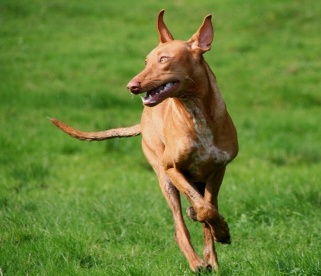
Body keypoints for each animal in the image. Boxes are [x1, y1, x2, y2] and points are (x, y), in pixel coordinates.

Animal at [50, 10, 238, 272]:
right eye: (146, 61)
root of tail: (143, 121)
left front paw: (219, 235)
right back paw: (195, 262)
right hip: (164, 178)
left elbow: (208, 211)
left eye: (164, 59)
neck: (196, 114)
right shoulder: (171, 168)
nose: (131, 86)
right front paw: (218, 231)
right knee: (179, 228)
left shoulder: (217, 169)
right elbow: (205, 210)